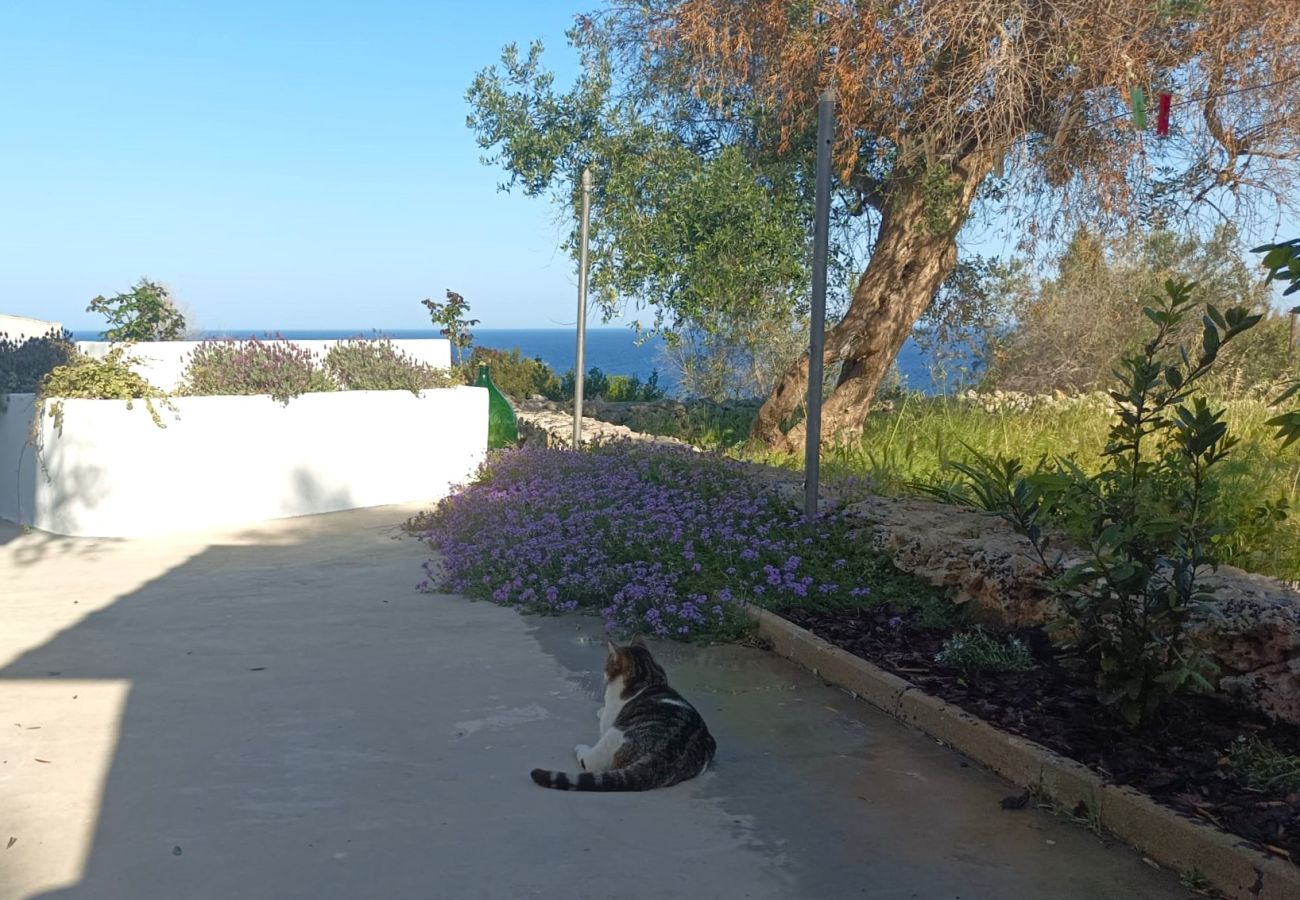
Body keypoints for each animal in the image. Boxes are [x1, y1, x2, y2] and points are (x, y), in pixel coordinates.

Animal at [527, 637, 717, 790]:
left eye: (607, 664)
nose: (603, 672)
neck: (648, 679)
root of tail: (662, 756)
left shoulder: (609, 718)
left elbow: (604, 714)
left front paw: (600, 710)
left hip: (615, 733)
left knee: (592, 763)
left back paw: (581, 749)